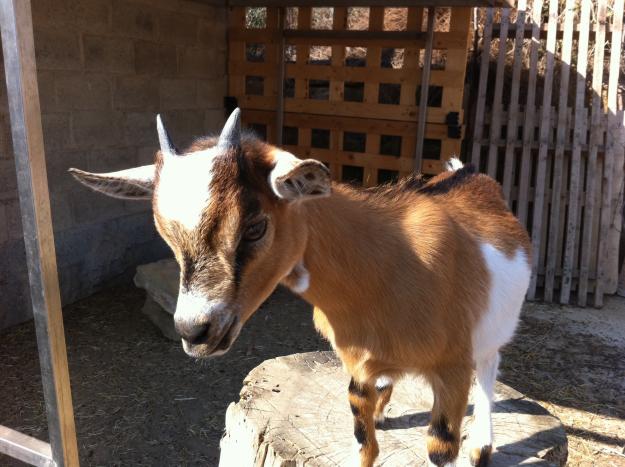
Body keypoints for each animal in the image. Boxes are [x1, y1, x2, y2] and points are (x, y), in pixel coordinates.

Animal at [72, 109, 532, 467]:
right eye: (164, 233)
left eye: (255, 227)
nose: (194, 331)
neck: (387, 265)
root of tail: (466, 172)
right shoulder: (355, 366)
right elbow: (364, 442)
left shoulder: (452, 372)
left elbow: (439, 444)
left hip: (489, 336)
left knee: (490, 368)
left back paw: (483, 445)